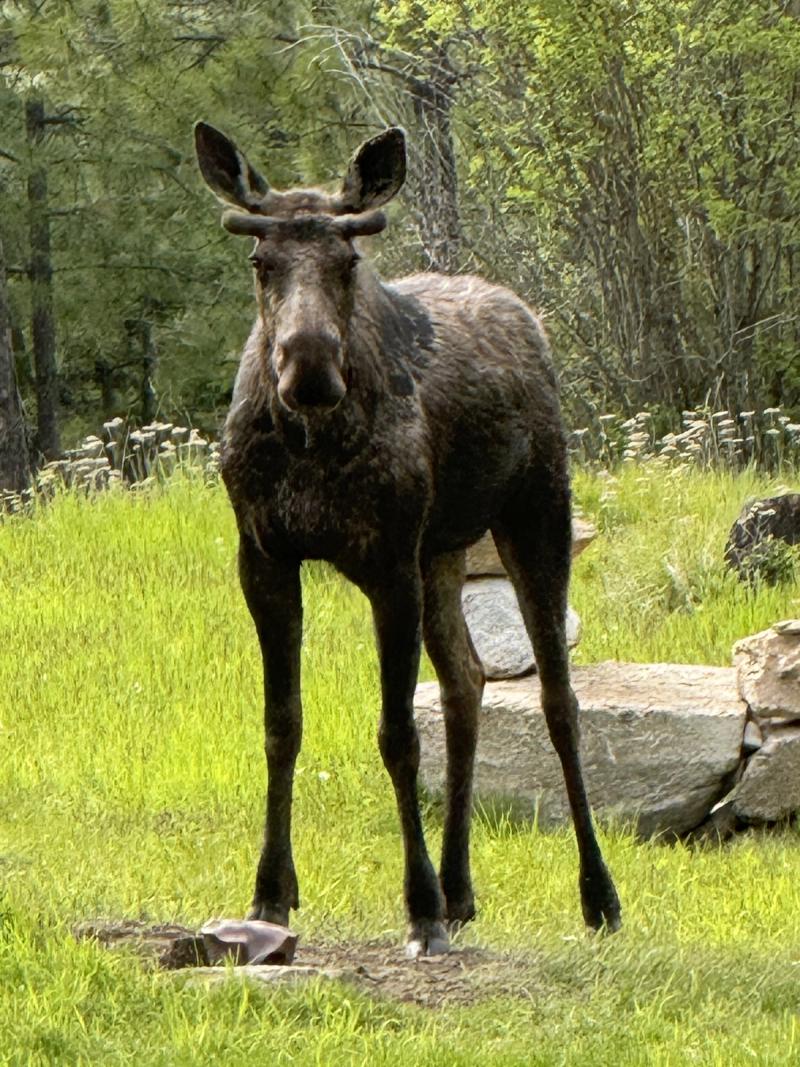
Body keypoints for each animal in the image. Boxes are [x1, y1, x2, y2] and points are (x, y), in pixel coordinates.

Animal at [193, 121, 621, 956]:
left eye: (348, 260)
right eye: (262, 262)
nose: (310, 367)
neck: (311, 444)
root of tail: (525, 315)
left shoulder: (387, 559)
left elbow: (396, 733)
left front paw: (416, 905)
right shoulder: (264, 555)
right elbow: (281, 723)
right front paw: (271, 893)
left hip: (534, 512)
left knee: (558, 698)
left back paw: (596, 894)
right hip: (443, 550)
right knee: (467, 678)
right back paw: (461, 886)